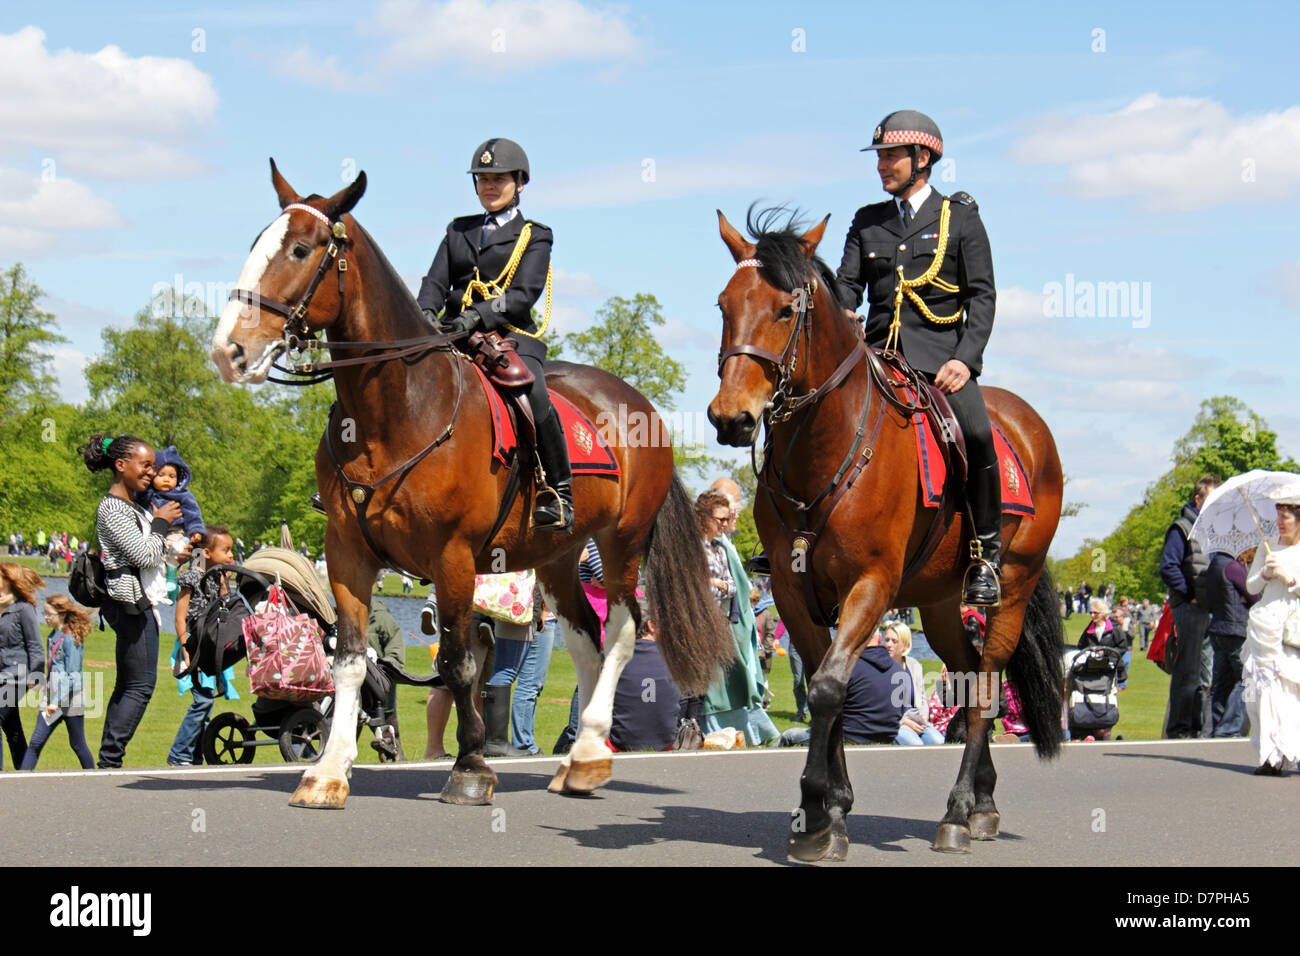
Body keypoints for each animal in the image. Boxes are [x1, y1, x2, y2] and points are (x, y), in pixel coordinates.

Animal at [210, 162, 733, 806]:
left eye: (301, 250)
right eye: (255, 244)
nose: (229, 349)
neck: (395, 413)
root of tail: (638, 403)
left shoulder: (453, 558)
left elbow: (459, 663)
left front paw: (471, 766)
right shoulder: (347, 552)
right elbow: (349, 660)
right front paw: (328, 770)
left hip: (622, 542)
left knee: (620, 632)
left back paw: (589, 752)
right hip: (558, 556)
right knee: (584, 638)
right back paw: (576, 759)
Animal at [712, 208, 1066, 858]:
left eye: (785, 309)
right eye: (724, 304)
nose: (731, 417)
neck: (827, 443)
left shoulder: (872, 585)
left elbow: (830, 686)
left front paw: (817, 811)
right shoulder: (796, 592)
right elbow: (823, 682)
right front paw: (831, 808)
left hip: (1011, 585)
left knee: (986, 686)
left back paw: (957, 814)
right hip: (942, 604)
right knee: (967, 680)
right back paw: (982, 801)